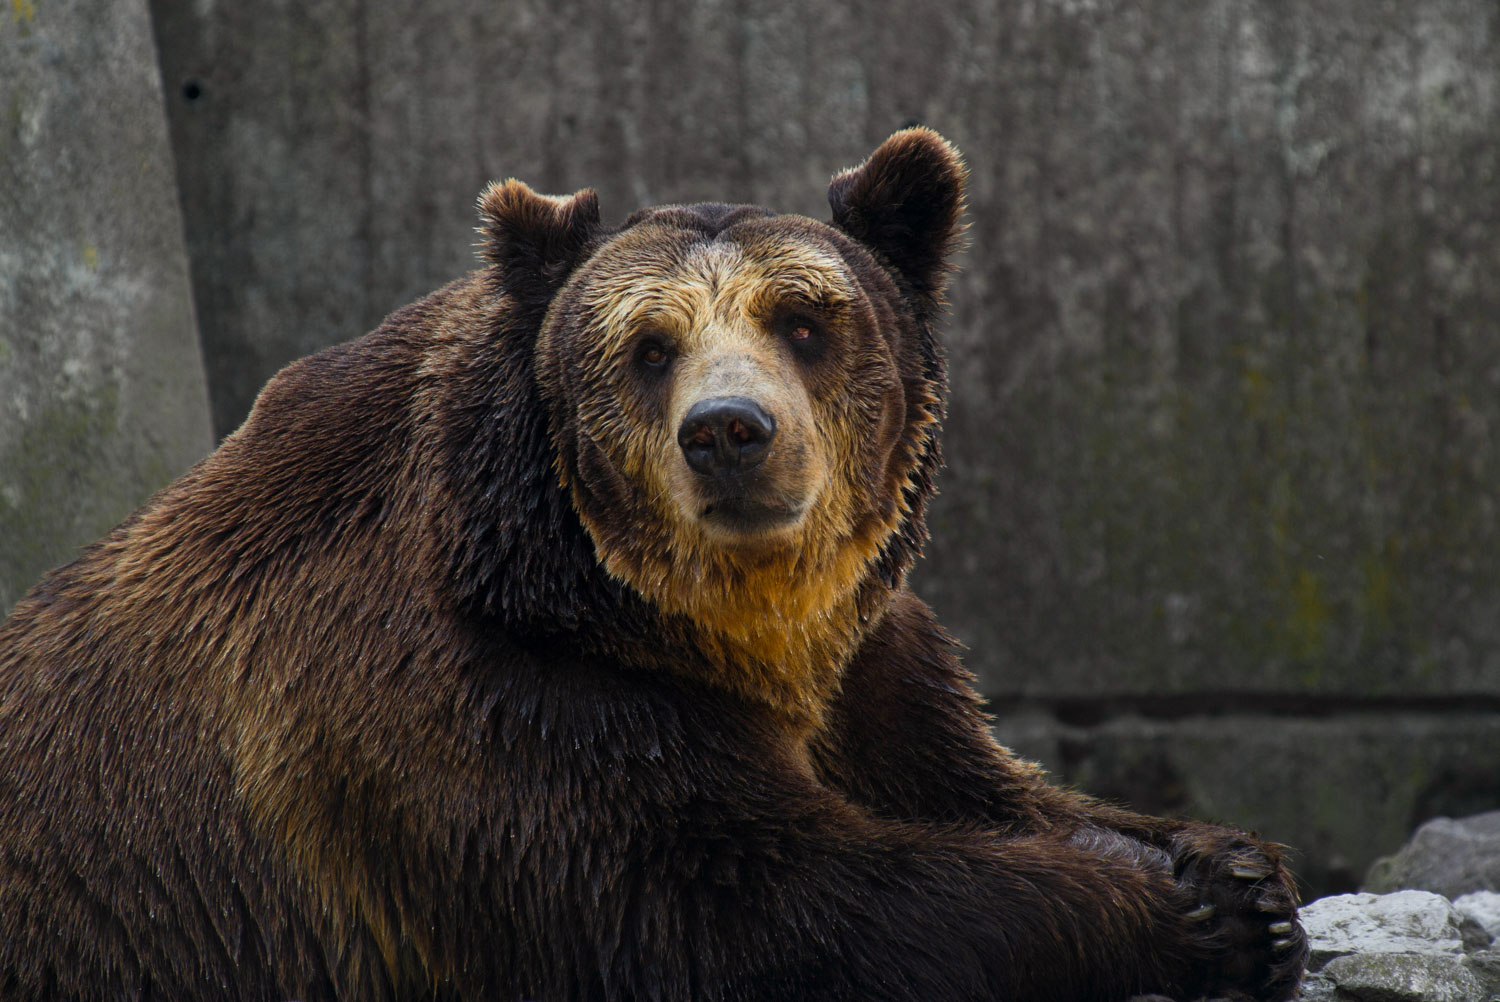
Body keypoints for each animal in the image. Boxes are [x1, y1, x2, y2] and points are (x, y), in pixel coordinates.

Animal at [0, 128, 1307, 1001]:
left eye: (805, 320)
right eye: (647, 344)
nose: (730, 430)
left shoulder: (871, 670)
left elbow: (980, 781)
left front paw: (1232, 870)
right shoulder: (475, 717)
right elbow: (764, 909)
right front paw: (1169, 907)